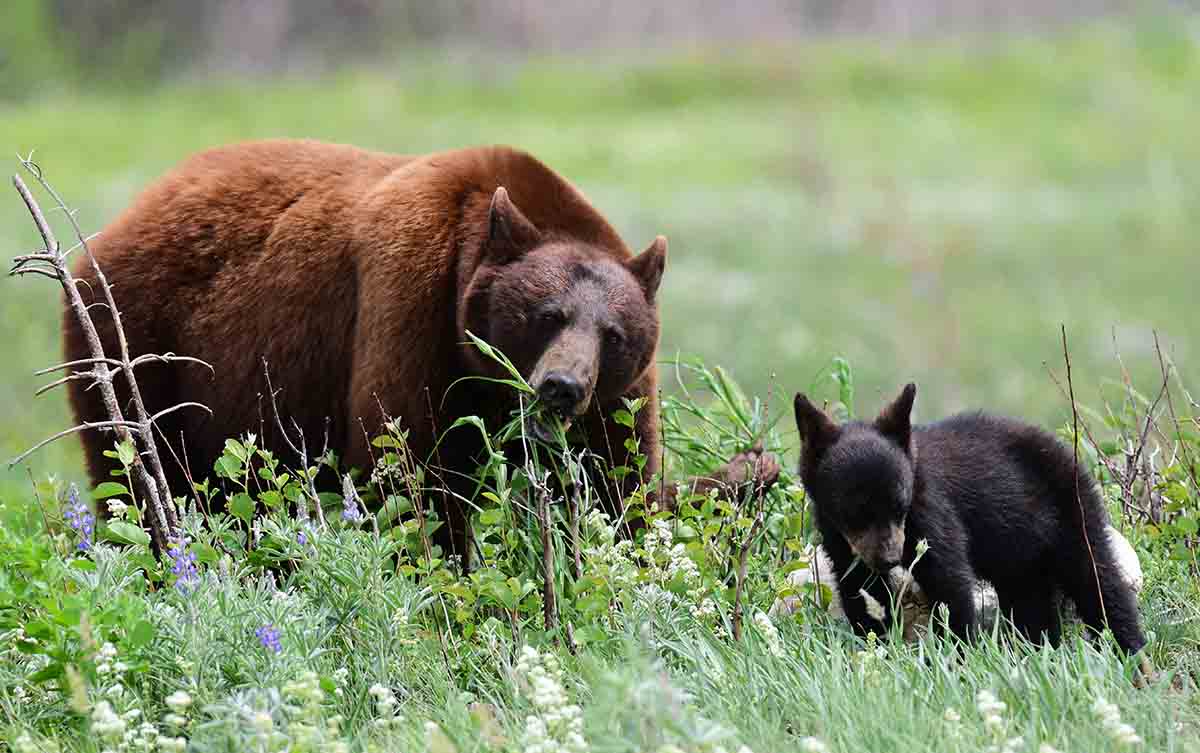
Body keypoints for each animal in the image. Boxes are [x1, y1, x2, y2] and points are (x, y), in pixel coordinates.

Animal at [68, 138, 777, 556]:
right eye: (546, 315)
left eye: (614, 333)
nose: (562, 386)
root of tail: (115, 227)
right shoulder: (408, 301)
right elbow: (407, 468)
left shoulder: (621, 396)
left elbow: (621, 488)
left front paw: (749, 471)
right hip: (136, 343)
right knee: (137, 477)